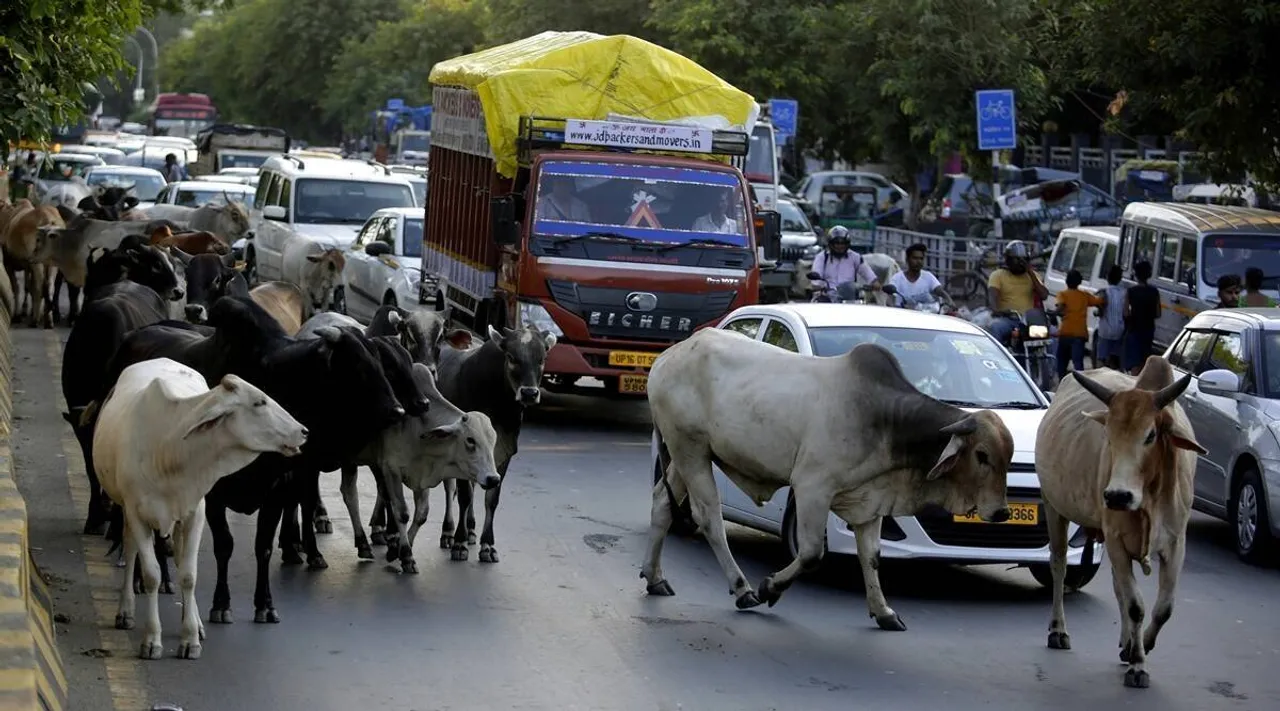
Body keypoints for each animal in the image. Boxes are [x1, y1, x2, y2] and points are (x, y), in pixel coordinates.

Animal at [92, 358, 307, 661]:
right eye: (259, 402)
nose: (304, 431)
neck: (168, 451)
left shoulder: (196, 514)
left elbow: (189, 575)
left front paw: (190, 638)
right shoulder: (136, 513)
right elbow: (151, 575)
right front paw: (152, 640)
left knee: (181, 561)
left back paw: (194, 622)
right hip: (126, 510)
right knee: (131, 548)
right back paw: (126, 612)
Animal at [645, 327, 1013, 627]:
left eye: (1007, 458)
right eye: (981, 455)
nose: (1002, 512)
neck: (884, 419)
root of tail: (668, 356)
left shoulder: (870, 502)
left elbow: (872, 557)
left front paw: (884, 612)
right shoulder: (812, 488)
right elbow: (811, 554)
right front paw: (769, 588)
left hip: (689, 454)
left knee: (663, 504)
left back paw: (654, 578)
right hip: (690, 450)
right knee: (709, 517)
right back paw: (743, 589)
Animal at [1034, 358, 1203, 691]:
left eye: (1150, 435)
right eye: (1109, 436)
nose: (1116, 496)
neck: (1150, 497)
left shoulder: (1177, 543)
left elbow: (1163, 608)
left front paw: (1141, 646)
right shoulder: (1114, 540)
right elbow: (1136, 605)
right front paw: (1138, 664)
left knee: (1118, 587)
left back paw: (1127, 642)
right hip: (1053, 506)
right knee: (1059, 566)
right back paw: (1058, 630)